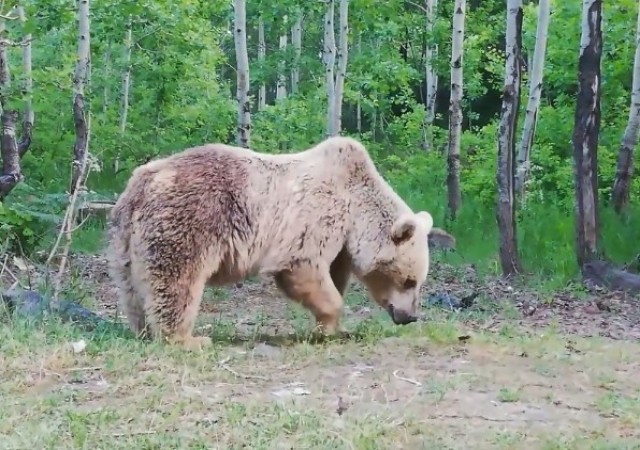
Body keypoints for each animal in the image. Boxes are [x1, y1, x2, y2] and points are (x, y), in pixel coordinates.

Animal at [106, 135, 450, 350]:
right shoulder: (315, 215)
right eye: (408, 280)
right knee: (178, 280)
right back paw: (187, 339)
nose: (410, 316)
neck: (355, 207)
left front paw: (330, 327)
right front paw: (331, 321)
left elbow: (333, 274)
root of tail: (140, 185)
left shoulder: (340, 241)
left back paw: (143, 329)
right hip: (190, 220)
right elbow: (301, 265)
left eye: (418, 281)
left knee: (133, 288)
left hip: (124, 240)